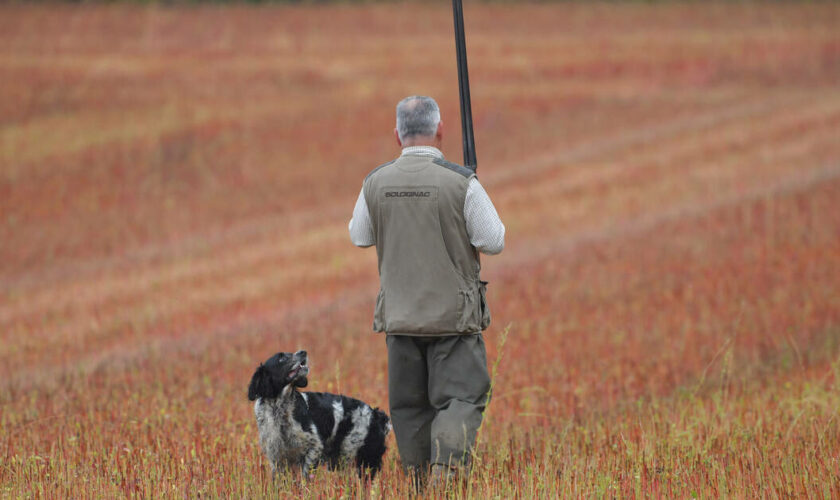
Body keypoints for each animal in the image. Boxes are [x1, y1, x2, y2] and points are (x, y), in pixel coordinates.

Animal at [246, 350, 390, 478]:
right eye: (281, 358)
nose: (303, 351)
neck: (279, 408)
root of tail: (376, 414)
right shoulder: (276, 455)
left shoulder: (314, 446)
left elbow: (305, 476)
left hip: (357, 457)